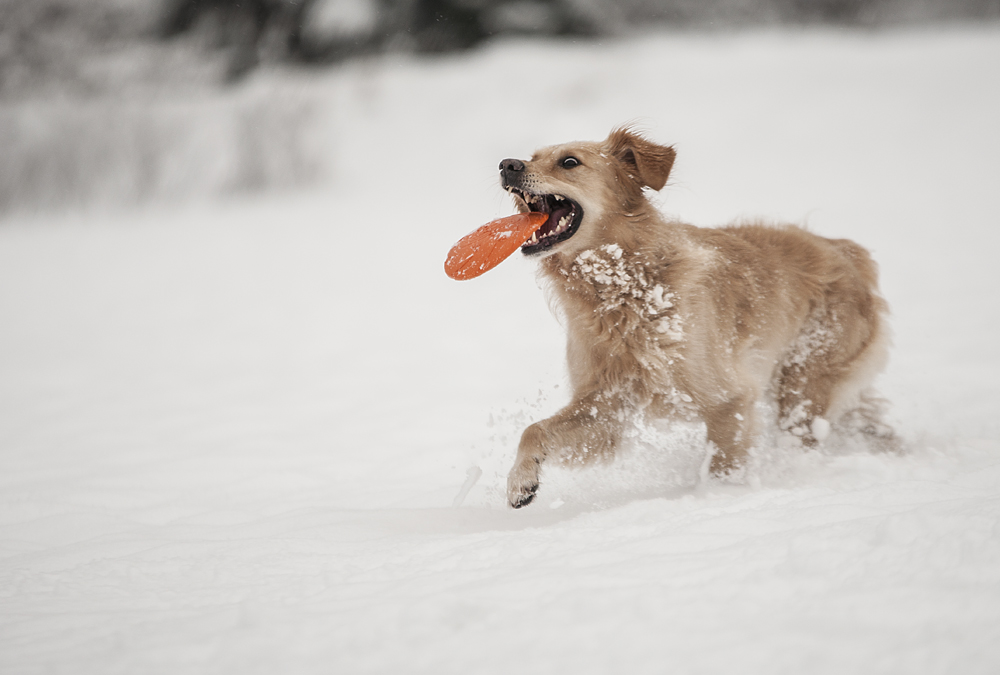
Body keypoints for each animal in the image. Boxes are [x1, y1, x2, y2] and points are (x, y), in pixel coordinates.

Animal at [500, 127, 892, 508]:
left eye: (569, 161)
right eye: (533, 156)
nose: (507, 165)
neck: (623, 288)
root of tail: (844, 250)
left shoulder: (728, 399)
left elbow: (724, 464)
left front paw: (716, 498)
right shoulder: (607, 406)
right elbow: (533, 430)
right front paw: (521, 481)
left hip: (804, 388)